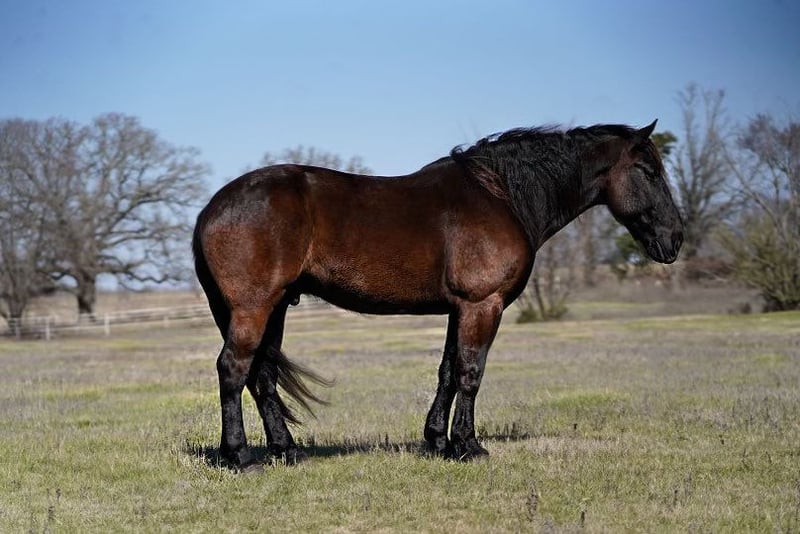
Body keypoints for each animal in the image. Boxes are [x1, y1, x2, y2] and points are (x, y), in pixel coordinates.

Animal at [193, 120, 684, 471]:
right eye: (648, 171)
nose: (674, 238)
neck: (500, 196)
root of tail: (211, 208)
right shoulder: (482, 305)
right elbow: (470, 373)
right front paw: (468, 446)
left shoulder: (459, 308)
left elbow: (448, 372)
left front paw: (437, 441)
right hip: (253, 307)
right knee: (233, 369)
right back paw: (241, 457)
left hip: (274, 308)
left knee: (262, 376)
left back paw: (287, 452)